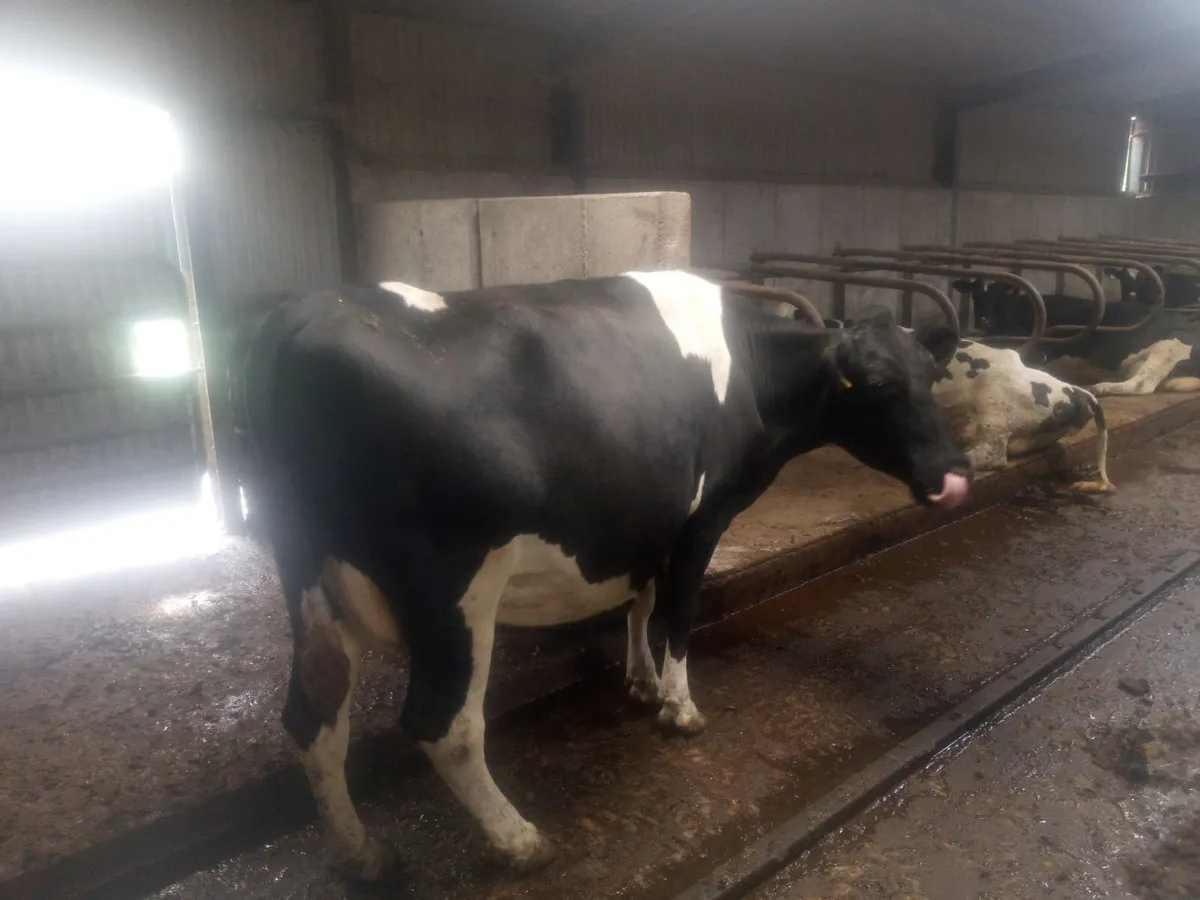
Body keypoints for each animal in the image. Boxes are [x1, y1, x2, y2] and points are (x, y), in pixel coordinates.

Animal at [233, 271, 972, 879]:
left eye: (931, 376)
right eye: (877, 385)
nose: (956, 477)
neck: (754, 372)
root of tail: (302, 314)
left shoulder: (646, 516)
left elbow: (641, 600)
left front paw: (640, 680)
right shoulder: (703, 516)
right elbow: (680, 609)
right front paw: (680, 706)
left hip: (310, 580)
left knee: (314, 712)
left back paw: (361, 853)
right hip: (453, 585)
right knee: (443, 723)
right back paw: (519, 841)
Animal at [953, 278, 1200, 397]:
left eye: (1000, 295)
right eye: (975, 295)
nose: (985, 321)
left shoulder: (1037, 349)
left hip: (1169, 347)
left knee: (1142, 383)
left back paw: (1099, 388)